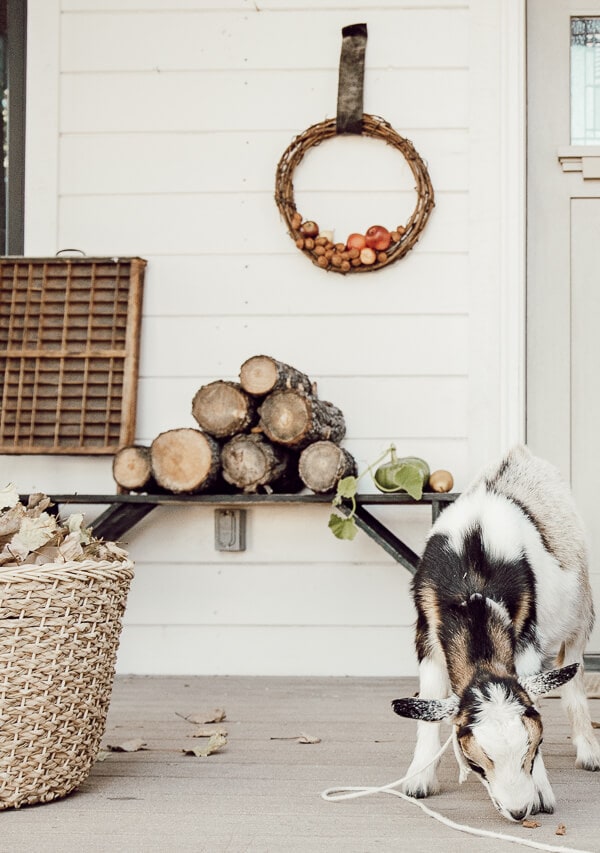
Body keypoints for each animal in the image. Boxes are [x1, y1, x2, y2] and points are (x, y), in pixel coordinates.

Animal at [392, 442, 600, 824]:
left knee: (575, 672)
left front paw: (542, 792)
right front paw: (419, 779)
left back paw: (589, 752)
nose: (519, 811)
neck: (473, 586)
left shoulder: (528, 639)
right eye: (475, 763)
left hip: (581, 611)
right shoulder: (427, 634)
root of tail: (519, 453)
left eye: (535, 747)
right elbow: (430, 694)